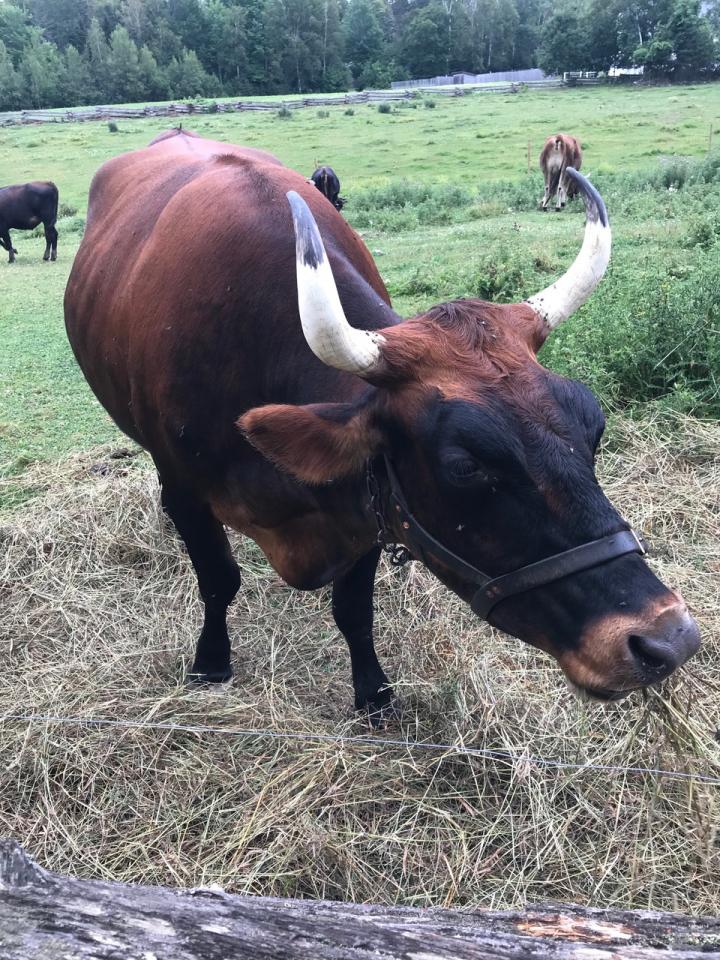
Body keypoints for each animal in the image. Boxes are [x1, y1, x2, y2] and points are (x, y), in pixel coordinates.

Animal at [63, 127, 696, 716]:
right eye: (464, 465)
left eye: (595, 426)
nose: (667, 639)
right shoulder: (188, 488)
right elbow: (218, 579)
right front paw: (211, 661)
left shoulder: (370, 504)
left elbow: (353, 610)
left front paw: (372, 691)